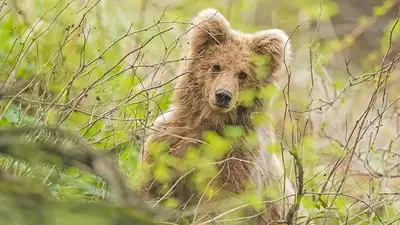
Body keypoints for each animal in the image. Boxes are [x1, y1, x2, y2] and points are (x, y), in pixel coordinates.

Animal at [141, 7, 296, 224]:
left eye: (243, 74)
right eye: (216, 66)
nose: (223, 95)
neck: (211, 123)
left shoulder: (236, 164)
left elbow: (220, 205)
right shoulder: (172, 142)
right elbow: (156, 185)